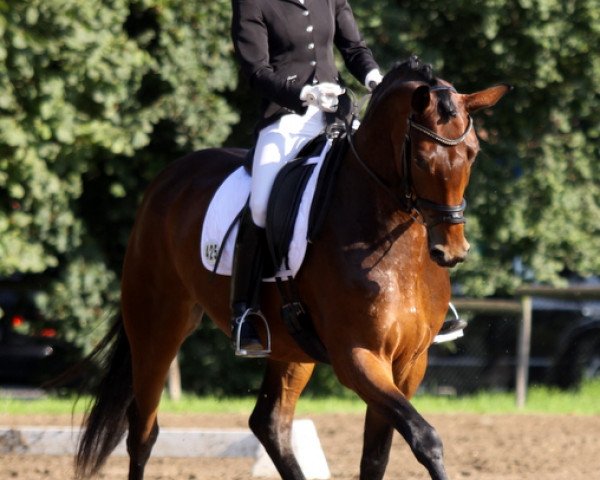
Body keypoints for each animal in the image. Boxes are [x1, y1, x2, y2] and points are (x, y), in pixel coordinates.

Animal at [74, 57, 506, 480]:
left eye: (472, 153)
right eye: (420, 158)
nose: (451, 250)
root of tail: (167, 178)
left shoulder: (411, 363)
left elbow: (376, 457)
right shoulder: (358, 357)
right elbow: (425, 437)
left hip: (290, 345)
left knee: (269, 423)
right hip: (157, 327)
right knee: (142, 431)